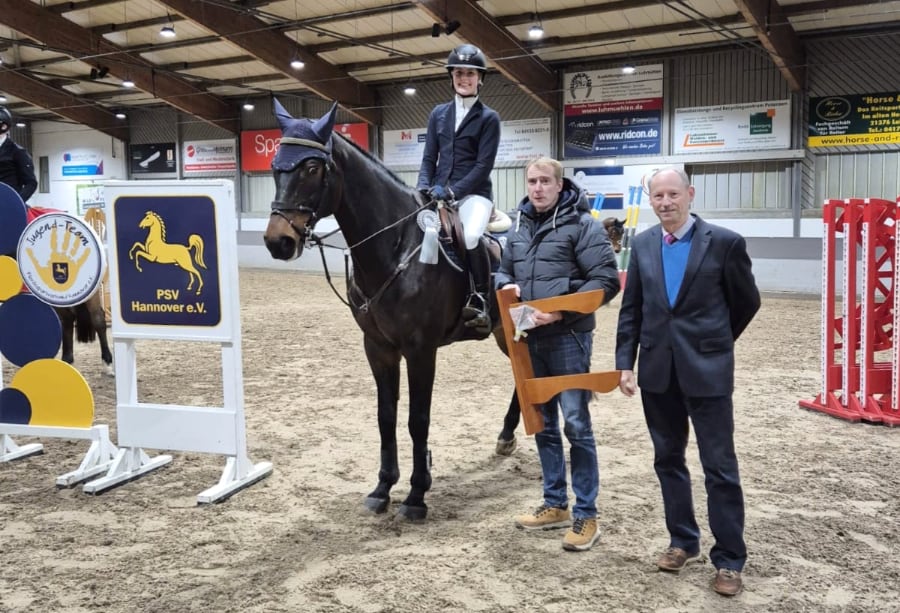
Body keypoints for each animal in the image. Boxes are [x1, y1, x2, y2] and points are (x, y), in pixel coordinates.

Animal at [266, 101, 512, 520]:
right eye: (274, 166)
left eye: (312, 168)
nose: (277, 241)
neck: (396, 247)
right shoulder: (378, 347)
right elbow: (386, 417)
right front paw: (382, 488)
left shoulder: (420, 349)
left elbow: (417, 419)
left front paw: (416, 495)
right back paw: (508, 436)